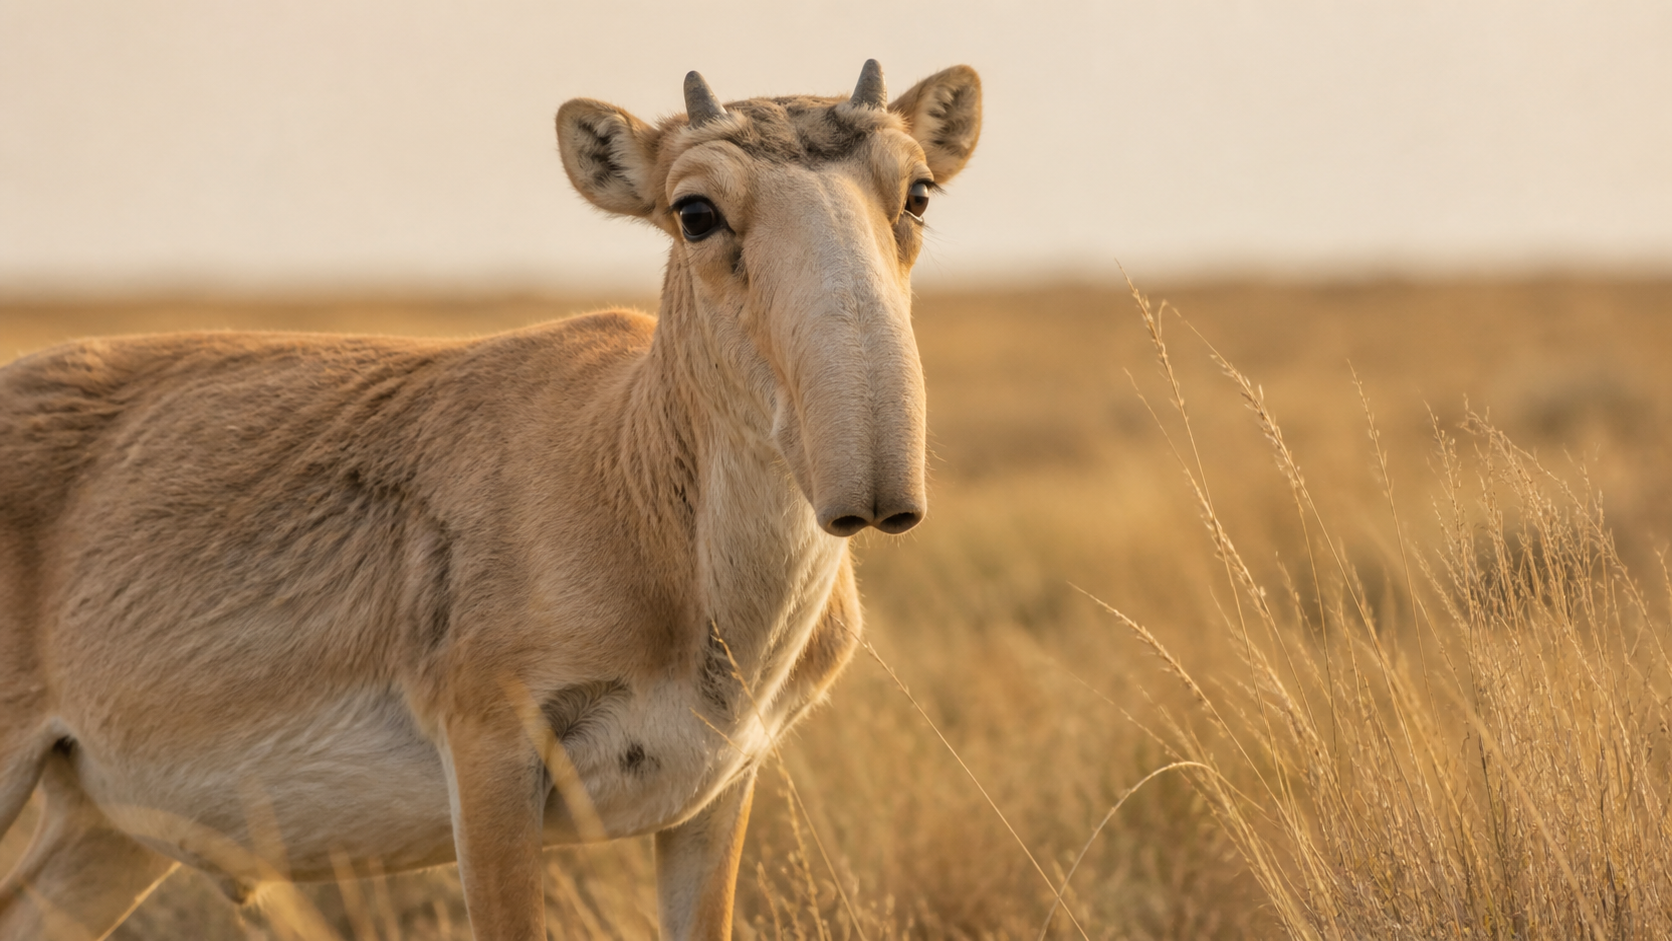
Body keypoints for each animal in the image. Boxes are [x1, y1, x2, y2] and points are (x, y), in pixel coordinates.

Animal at [0, 61, 981, 940]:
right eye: (694, 210)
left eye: (918, 193)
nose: (873, 489)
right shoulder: (492, 764)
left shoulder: (716, 795)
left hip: (107, 832)